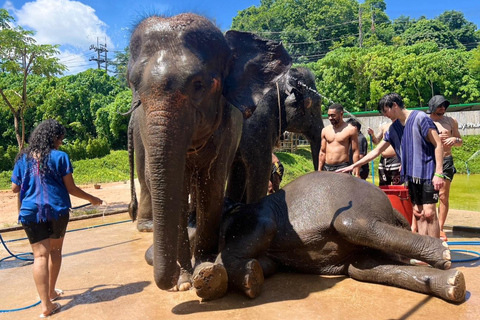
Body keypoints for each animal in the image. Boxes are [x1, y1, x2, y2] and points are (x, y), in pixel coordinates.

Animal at [126, 11, 292, 298]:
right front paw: (183, 281)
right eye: (132, 84)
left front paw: (205, 268)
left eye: (198, 84)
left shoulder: (227, 128)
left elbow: (212, 184)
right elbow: (177, 187)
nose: (170, 280)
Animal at [183, 171, 464, 302]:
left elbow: (257, 233)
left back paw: (444, 254)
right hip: (364, 255)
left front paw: (213, 279)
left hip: (355, 212)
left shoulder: (256, 218)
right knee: (365, 268)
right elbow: (266, 264)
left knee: (355, 226)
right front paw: (238, 277)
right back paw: (454, 284)